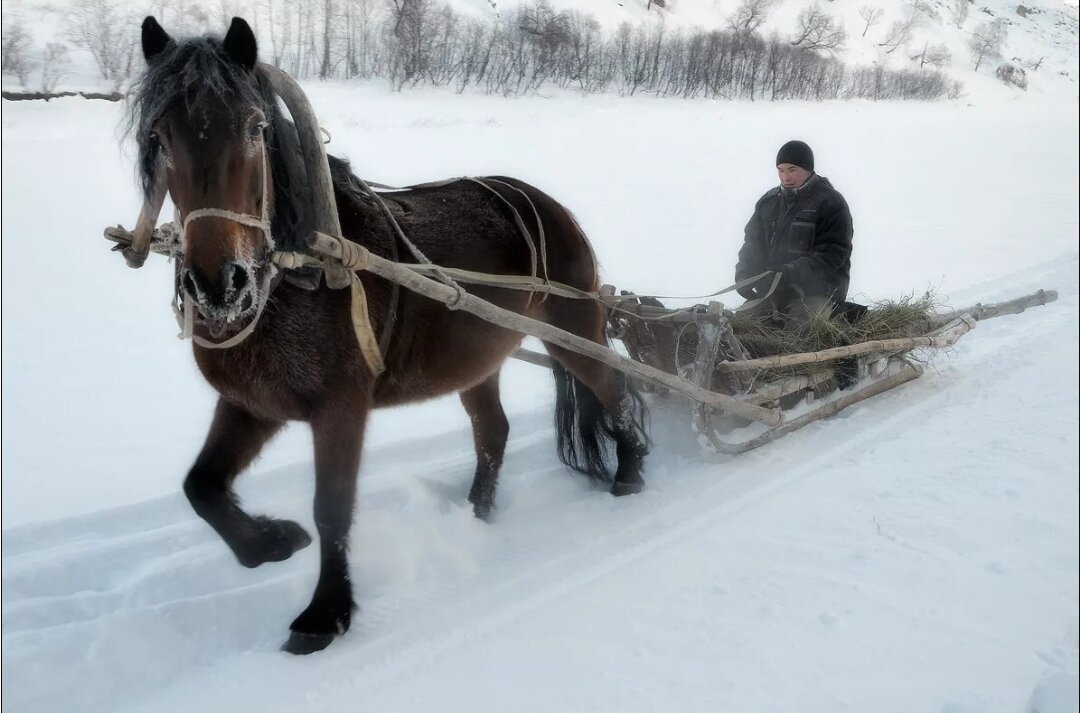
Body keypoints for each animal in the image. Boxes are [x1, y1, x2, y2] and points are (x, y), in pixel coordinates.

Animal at [126, 16, 648, 652]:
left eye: (254, 127)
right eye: (159, 134)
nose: (218, 284)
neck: (300, 272)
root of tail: (548, 204)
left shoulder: (341, 407)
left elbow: (332, 507)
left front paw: (326, 612)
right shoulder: (253, 402)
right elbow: (201, 486)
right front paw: (270, 543)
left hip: (570, 330)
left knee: (612, 389)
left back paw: (629, 472)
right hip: (477, 354)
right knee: (492, 432)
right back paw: (477, 512)